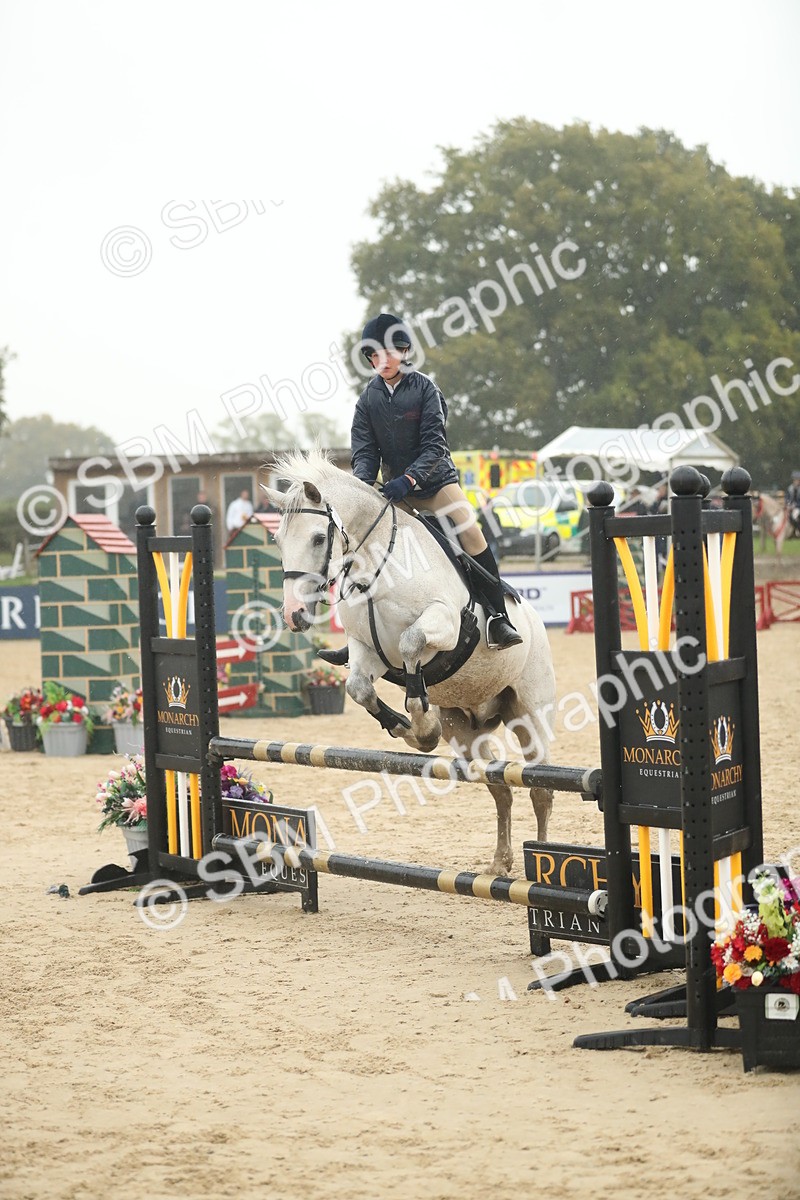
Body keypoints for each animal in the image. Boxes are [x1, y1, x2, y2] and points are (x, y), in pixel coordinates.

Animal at [260, 451, 557, 875]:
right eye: (278, 540)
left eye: (318, 538)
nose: (294, 615)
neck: (375, 567)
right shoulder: (366, 650)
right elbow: (358, 688)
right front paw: (410, 730)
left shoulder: (444, 624)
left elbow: (411, 641)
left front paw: (420, 719)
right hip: (465, 729)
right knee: (500, 787)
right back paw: (500, 864)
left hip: (530, 712)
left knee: (541, 787)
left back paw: (544, 863)